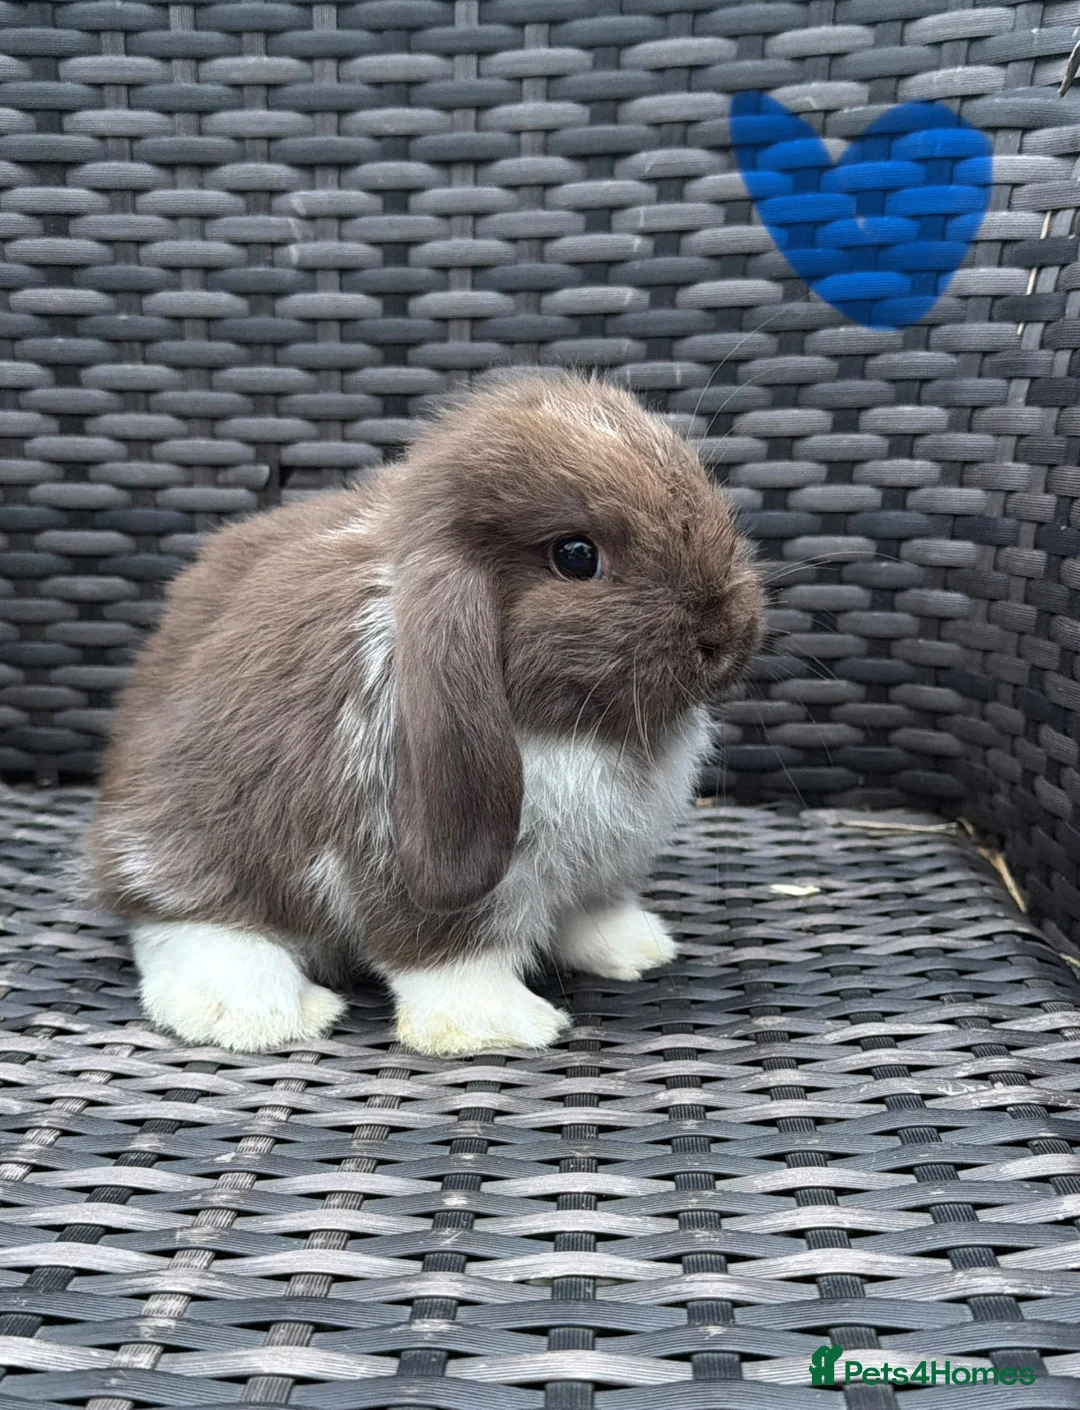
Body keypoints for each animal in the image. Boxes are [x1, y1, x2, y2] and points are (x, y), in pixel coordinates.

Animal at [86, 371, 765, 1056]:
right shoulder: (405, 852)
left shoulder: (595, 868)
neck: (583, 732)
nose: (724, 633)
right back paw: (256, 1014)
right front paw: (495, 1027)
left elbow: (591, 909)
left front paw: (634, 949)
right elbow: (447, 954)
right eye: (576, 556)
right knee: (182, 921)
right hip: (193, 849)